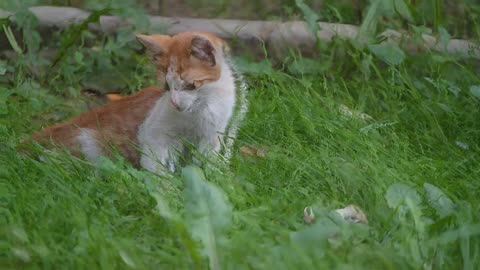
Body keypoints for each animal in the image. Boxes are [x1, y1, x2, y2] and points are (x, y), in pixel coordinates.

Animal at [30, 31, 248, 173]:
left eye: (190, 86)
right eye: (167, 87)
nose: (175, 104)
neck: (201, 110)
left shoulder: (215, 134)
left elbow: (208, 163)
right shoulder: (153, 131)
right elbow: (157, 163)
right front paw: (166, 189)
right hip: (86, 139)